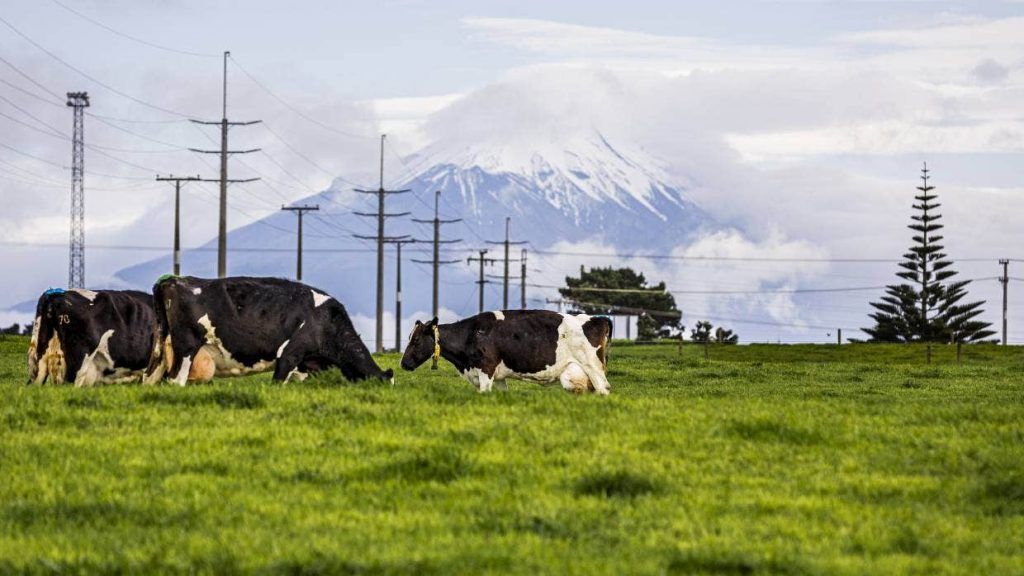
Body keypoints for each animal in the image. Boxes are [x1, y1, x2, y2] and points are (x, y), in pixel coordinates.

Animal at [399, 309, 610, 393]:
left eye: (415, 339)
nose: (403, 363)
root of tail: (597, 319)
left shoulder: (486, 369)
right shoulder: (499, 376)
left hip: (593, 368)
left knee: (604, 389)